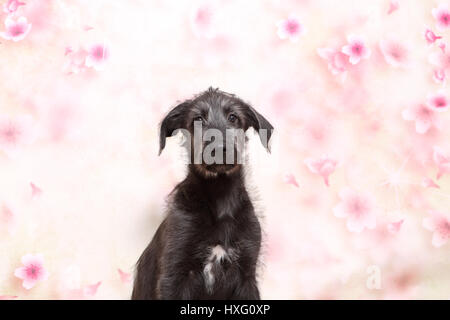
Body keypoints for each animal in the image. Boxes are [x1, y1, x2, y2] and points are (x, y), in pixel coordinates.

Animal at [132, 88, 272, 300]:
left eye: (233, 117)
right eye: (197, 119)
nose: (220, 149)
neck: (219, 194)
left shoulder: (247, 275)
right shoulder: (174, 274)